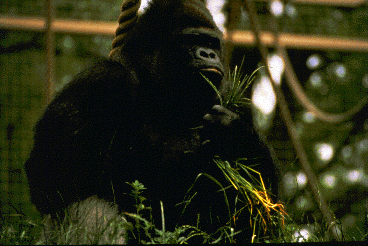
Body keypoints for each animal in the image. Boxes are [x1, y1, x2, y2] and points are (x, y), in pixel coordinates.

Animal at [25, 0, 276, 243]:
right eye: (191, 40)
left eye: (211, 43)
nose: (208, 54)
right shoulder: (101, 80)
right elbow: (49, 175)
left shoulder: (232, 97)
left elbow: (264, 204)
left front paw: (234, 136)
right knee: (92, 204)